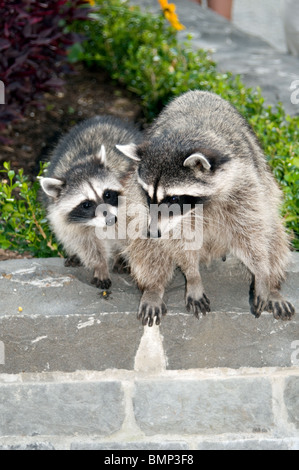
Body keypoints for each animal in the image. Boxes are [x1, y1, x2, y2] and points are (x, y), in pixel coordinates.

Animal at [40, 115, 142, 288]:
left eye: (107, 194)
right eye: (86, 204)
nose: (111, 219)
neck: (79, 164)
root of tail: (101, 118)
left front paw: (122, 256)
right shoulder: (68, 220)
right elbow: (86, 244)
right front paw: (100, 266)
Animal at [118, 90, 298, 324]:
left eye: (173, 198)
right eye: (148, 195)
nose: (153, 232)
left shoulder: (244, 184)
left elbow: (253, 233)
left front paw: (262, 274)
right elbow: (178, 242)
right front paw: (193, 276)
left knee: (274, 234)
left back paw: (274, 285)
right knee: (143, 241)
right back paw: (153, 287)